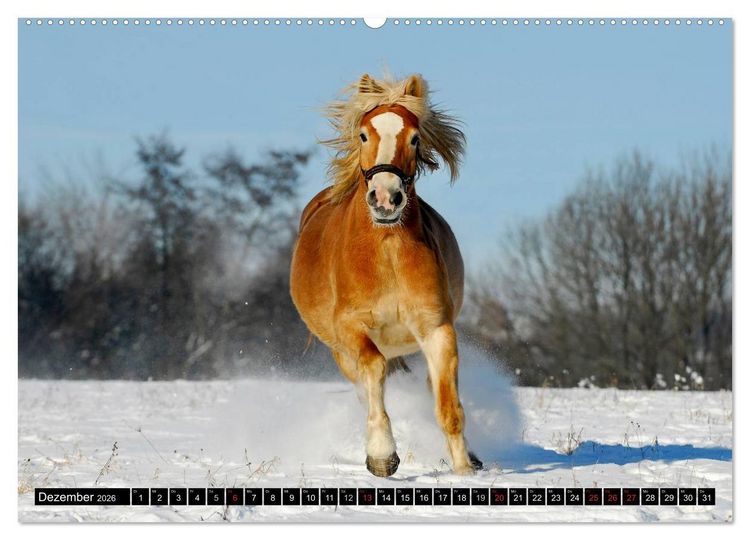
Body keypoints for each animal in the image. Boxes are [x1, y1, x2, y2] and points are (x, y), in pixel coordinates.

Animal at [290, 73, 481, 477]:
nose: (385, 198)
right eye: (364, 135)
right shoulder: (351, 328)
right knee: (366, 387)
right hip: (340, 353)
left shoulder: (436, 329)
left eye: (415, 137)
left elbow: (448, 407)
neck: (387, 251)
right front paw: (381, 455)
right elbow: (374, 371)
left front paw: (464, 470)